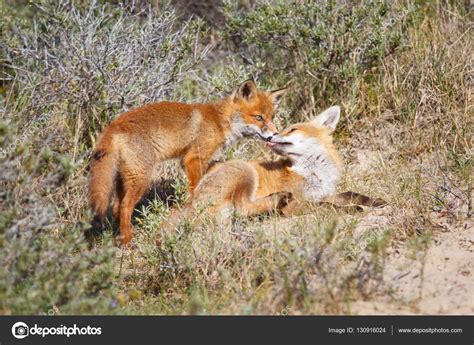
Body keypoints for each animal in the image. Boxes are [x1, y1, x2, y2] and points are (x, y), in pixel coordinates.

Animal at [90, 79, 286, 243]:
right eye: (258, 117)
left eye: (272, 117)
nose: (275, 135)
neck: (220, 121)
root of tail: (114, 125)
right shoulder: (193, 159)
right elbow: (195, 190)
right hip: (141, 179)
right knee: (124, 206)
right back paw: (127, 240)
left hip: (125, 178)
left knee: (116, 207)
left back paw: (119, 236)